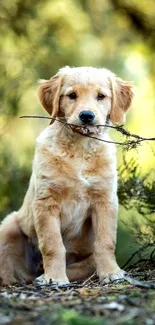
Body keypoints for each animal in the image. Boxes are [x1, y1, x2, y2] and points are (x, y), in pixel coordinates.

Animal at [0, 66, 134, 284]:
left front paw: (111, 272)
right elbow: (52, 244)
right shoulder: (46, 202)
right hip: (8, 226)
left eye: (101, 96)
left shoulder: (105, 200)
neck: (80, 148)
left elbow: (106, 241)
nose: (86, 115)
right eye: (71, 95)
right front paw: (54, 278)